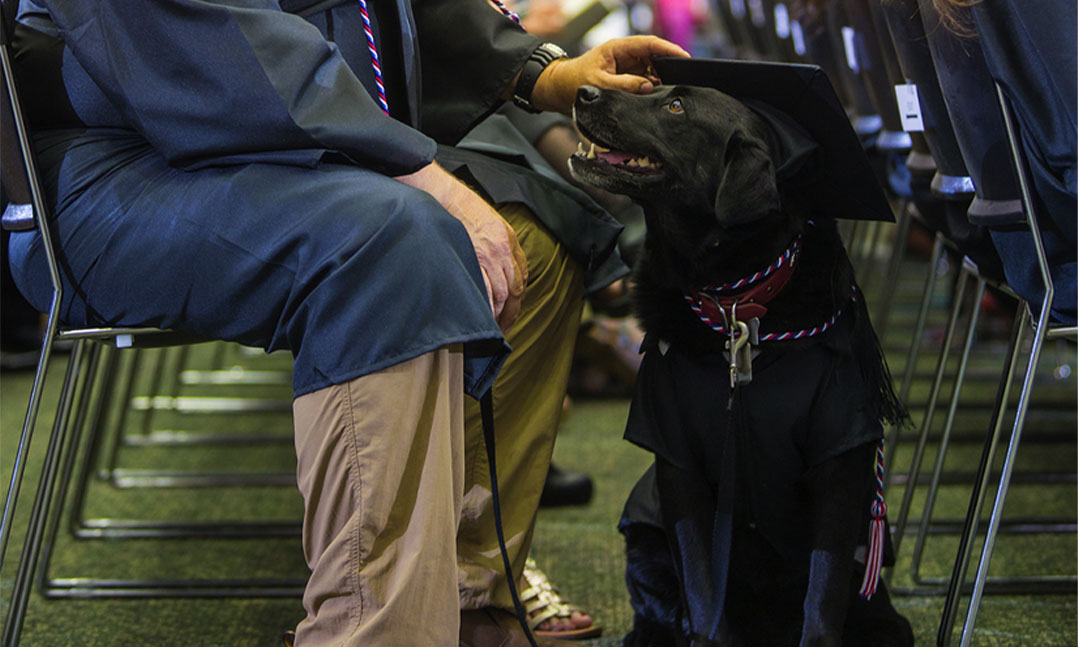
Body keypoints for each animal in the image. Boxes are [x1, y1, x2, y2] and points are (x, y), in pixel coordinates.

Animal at [569, 85, 914, 647]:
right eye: (651, 87)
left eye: (675, 107)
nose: (583, 90)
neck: (735, 304)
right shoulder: (675, 457)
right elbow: (702, 583)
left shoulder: (838, 462)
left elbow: (824, 591)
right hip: (645, 540)